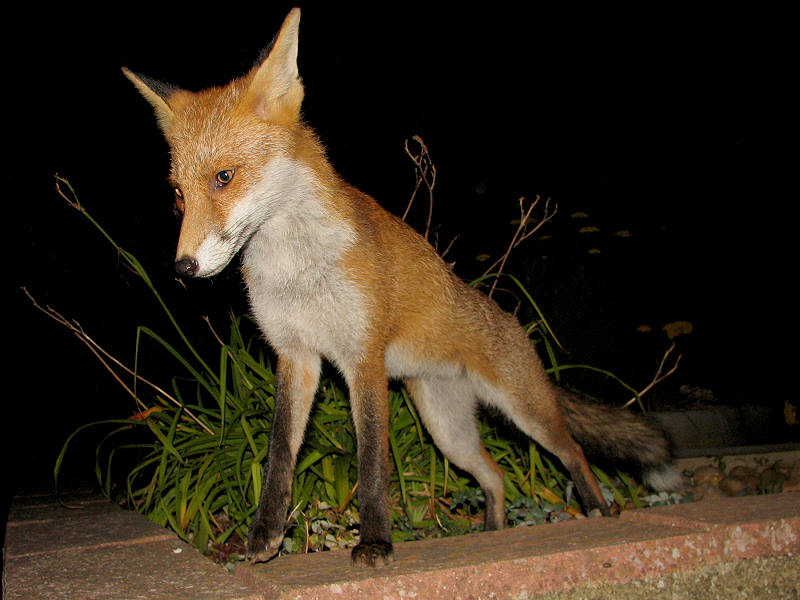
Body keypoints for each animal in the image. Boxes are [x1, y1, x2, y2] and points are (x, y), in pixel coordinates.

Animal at [122, 5, 680, 568]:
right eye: (177, 194)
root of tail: (506, 319)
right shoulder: (295, 357)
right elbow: (280, 456)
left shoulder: (363, 358)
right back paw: (493, 531)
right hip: (448, 430)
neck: (295, 270)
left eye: (224, 177)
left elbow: (373, 464)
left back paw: (596, 510)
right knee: (495, 475)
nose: (183, 268)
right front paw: (264, 538)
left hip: (525, 414)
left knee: (575, 452)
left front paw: (375, 542)